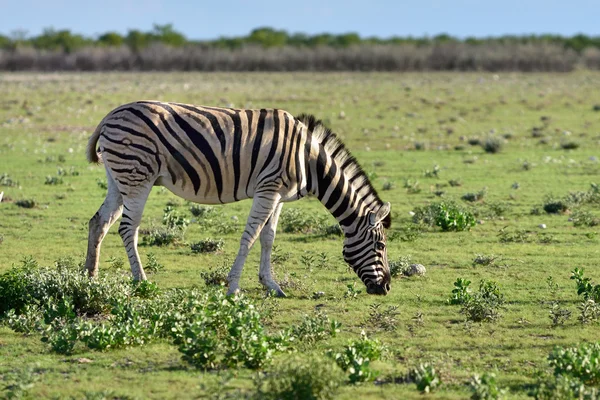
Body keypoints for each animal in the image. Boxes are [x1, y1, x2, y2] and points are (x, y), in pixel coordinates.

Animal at [85, 102, 394, 296]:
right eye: (380, 245)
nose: (387, 288)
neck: (309, 161)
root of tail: (111, 115)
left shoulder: (279, 196)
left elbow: (269, 238)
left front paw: (272, 286)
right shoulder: (268, 189)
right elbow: (251, 235)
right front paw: (233, 288)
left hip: (118, 178)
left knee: (99, 221)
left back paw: (90, 278)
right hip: (137, 175)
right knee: (128, 228)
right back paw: (141, 281)